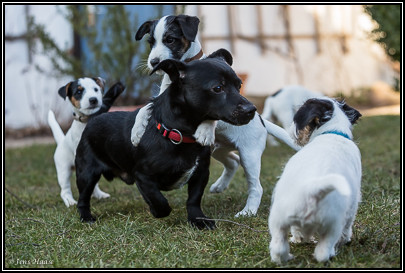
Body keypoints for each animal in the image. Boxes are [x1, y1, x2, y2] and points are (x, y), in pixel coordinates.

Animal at [47, 77, 124, 207]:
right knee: (65, 189)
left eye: (96, 89)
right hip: (64, 169)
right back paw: (69, 201)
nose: (93, 99)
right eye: (79, 92)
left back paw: (99, 194)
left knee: (93, 183)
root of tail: (62, 141)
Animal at [74, 50, 254, 228]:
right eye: (217, 88)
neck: (179, 134)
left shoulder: (201, 172)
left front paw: (198, 219)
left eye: (239, 85)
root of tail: (96, 116)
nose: (251, 109)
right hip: (86, 173)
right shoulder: (143, 177)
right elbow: (159, 201)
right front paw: (156, 211)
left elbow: (194, 199)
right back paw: (86, 217)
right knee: (83, 199)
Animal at [268, 96, 360, 262]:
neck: (332, 133)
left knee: (279, 246)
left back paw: (287, 256)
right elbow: (348, 226)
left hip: (279, 220)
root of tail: (312, 190)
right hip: (332, 225)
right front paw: (346, 240)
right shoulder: (352, 205)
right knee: (322, 252)